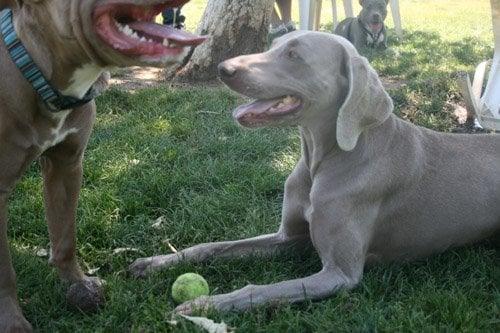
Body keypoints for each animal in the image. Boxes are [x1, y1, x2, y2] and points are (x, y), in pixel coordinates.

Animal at [130, 31, 500, 314]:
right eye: (274, 45)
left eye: (294, 55)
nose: (223, 68)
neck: (320, 160)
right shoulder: (289, 239)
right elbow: (212, 246)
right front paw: (156, 262)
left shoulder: (339, 274)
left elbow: (261, 289)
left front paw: (205, 304)